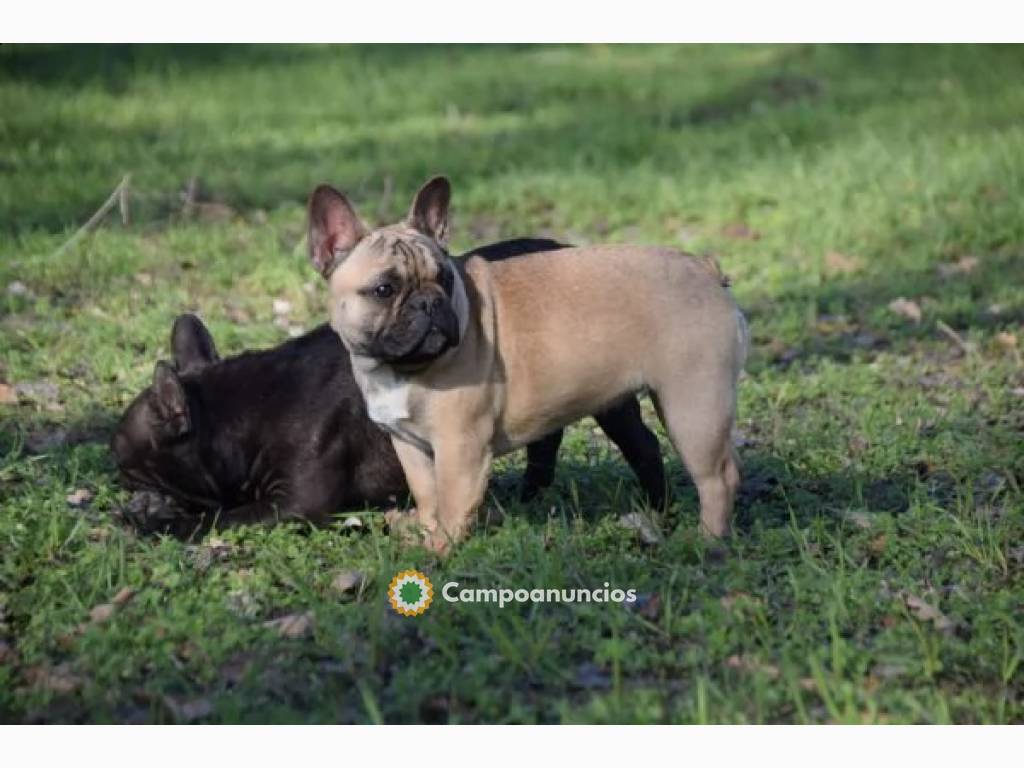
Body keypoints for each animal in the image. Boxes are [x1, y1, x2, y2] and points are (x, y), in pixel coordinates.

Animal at [112, 237, 667, 532]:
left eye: (124, 459)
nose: (115, 476)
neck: (242, 412)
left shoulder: (297, 501)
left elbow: (219, 517)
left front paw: (153, 524)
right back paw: (528, 494)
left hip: (613, 403)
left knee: (642, 443)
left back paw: (656, 507)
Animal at [303, 175, 745, 552]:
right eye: (383, 289)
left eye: (445, 279)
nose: (430, 302)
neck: (399, 369)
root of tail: (704, 268)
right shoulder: (408, 444)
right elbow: (428, 493)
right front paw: (424, 531)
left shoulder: (459, 447)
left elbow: (451, 502)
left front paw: (440, 549)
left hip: (693, 408)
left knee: (718, 478)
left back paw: (707, 540)